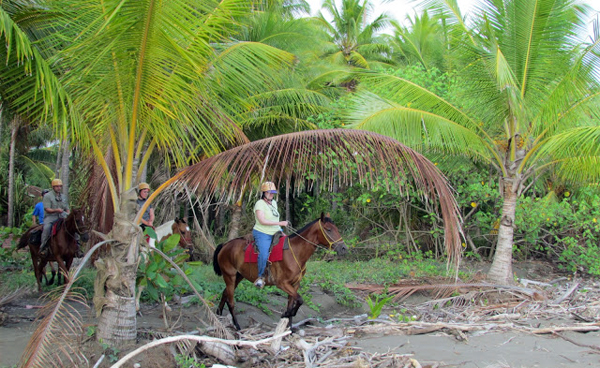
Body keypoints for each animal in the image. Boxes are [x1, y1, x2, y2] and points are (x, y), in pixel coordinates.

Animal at [214, 213, 346, 330]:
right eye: (329, 229)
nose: (344, 248)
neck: (296, 252)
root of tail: (225, 245)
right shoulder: (282, 284)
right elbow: (300, 300)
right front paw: (286, 315)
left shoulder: (295, 284)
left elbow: (292, 303)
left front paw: (289, 328)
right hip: (229, 275)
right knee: (231, 301)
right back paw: (237, 326)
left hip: (238, 276)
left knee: (225, 293)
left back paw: (218, 315)